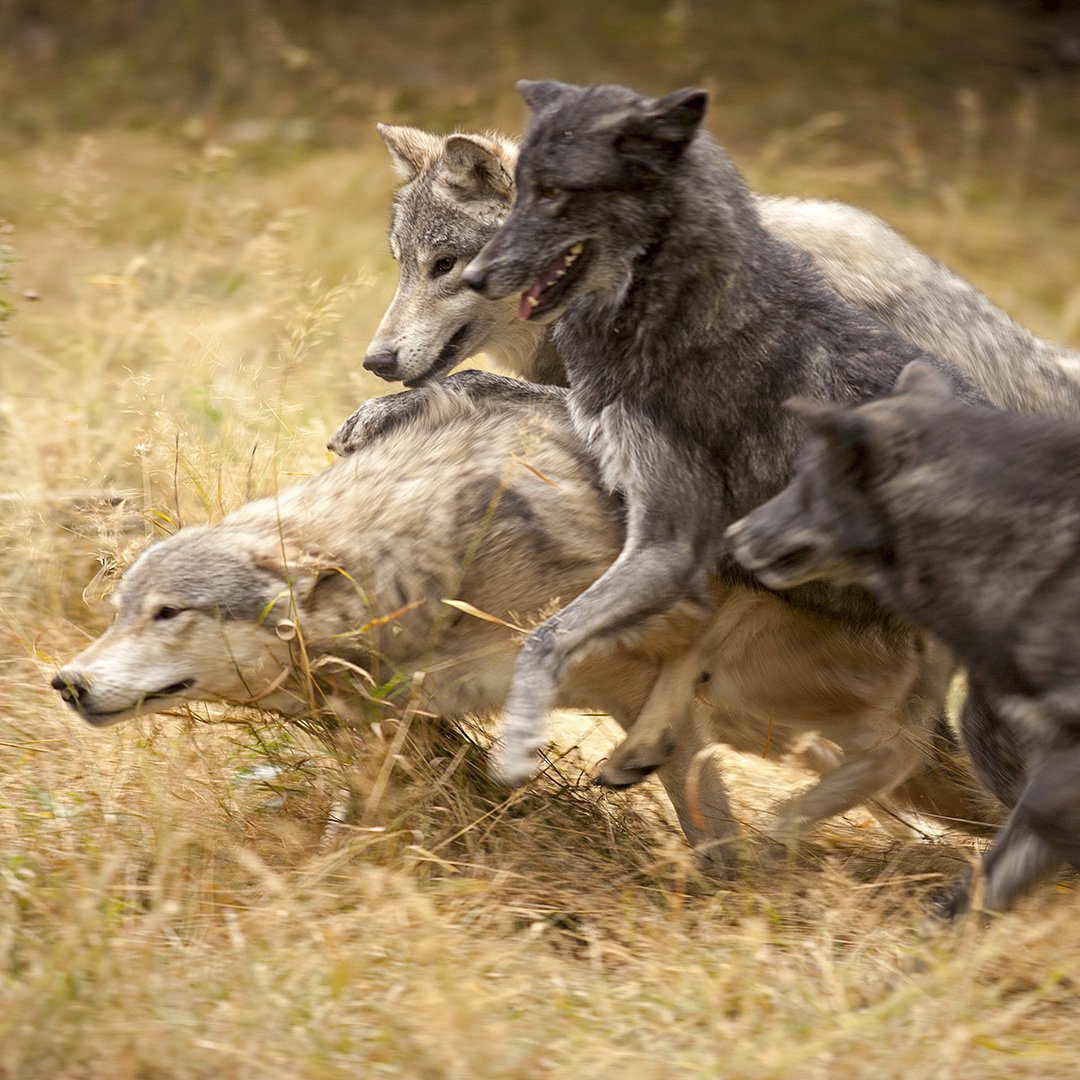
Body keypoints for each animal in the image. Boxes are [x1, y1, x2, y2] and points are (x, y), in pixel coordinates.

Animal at [48, 393, 993, 855]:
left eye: (169, 614)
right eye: (120, 612)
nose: (67, 681)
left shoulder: (635, 666)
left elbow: (705, 810)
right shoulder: (413, 723)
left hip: (763, 682)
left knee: (894, 750)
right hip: (768, 721)